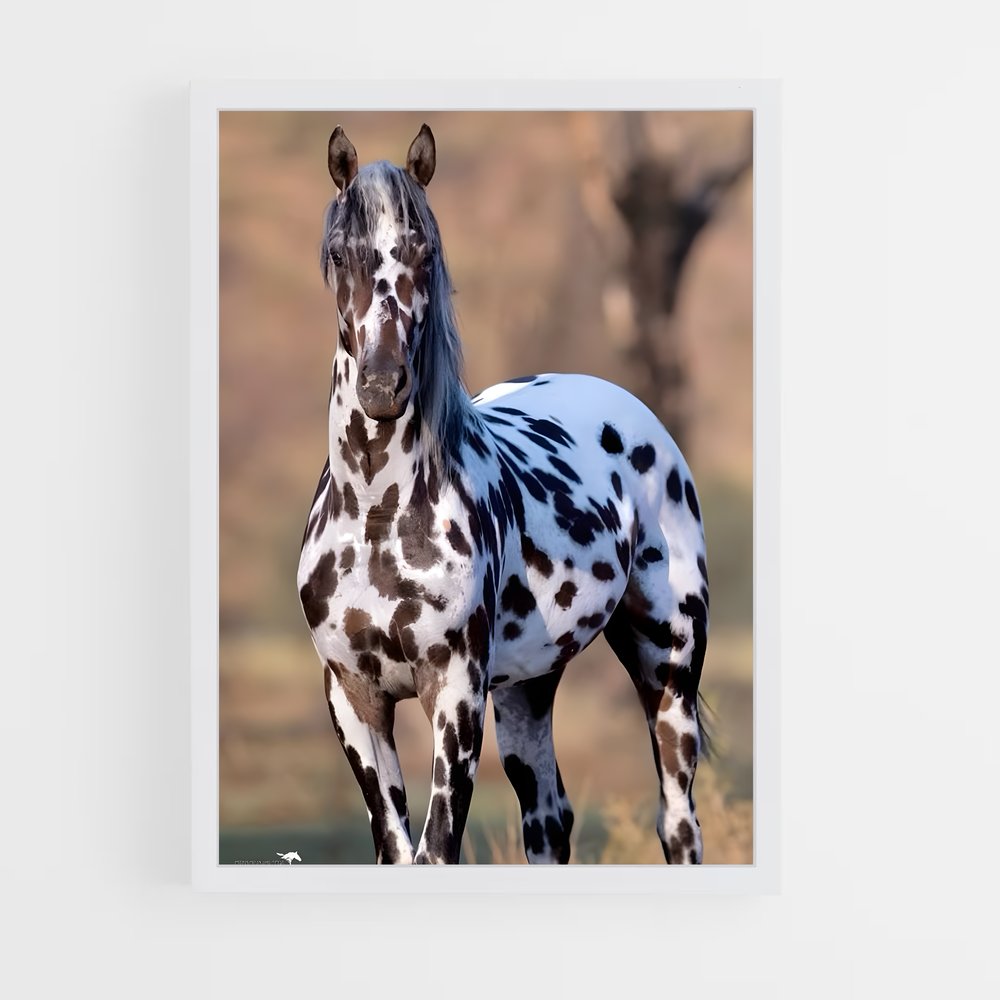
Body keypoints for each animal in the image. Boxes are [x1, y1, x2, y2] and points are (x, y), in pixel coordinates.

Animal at [297, 123, 710, 865]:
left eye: (425, 250)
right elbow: (396, 847)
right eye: (340, 252)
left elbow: (436, 848)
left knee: (677, 820)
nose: (382, 385)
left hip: (668, 668)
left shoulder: (455, 695)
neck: (377, 516)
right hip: (527, 687)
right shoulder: (353, 697)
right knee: (549, 819)